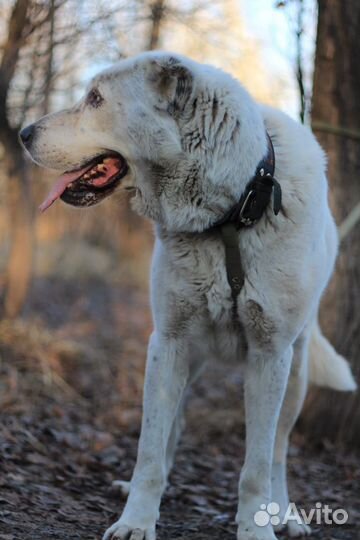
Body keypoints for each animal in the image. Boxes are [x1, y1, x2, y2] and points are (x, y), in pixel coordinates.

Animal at [20, 51, 358, 540]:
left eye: (96, 98)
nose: (23, 133)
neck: (231, 216)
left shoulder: (269, 355)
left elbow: (257, 464)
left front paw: (257, 527)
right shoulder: (169, 341)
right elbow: (150, 448)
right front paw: (136, 521)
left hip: (295, 370)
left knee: (278, 450)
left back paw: (284, 513)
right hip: (180, 356)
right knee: (171, 427)